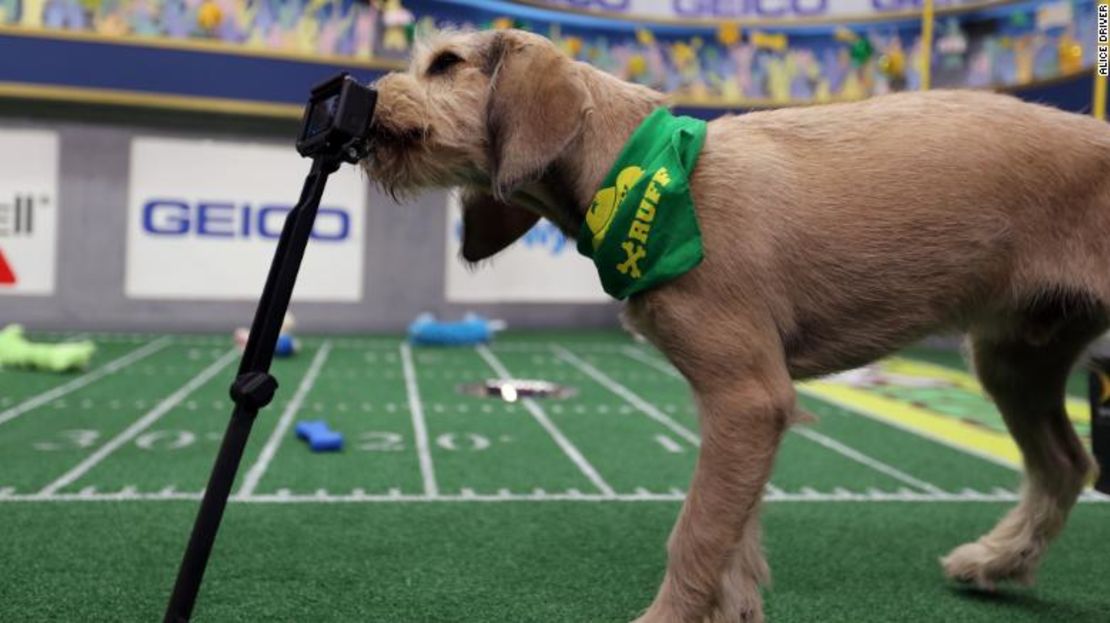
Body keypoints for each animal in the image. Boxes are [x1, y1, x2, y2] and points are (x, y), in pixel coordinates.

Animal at [364, 26, 1110, 617]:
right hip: (1014, 359)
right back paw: (996, 561)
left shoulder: (748, 398)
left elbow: (697, 534)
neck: (640, 172)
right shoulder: (739, 411)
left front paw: (667, 616)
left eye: (446, 63)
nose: (361, 101)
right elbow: (734, 542)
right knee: (1067, 463)